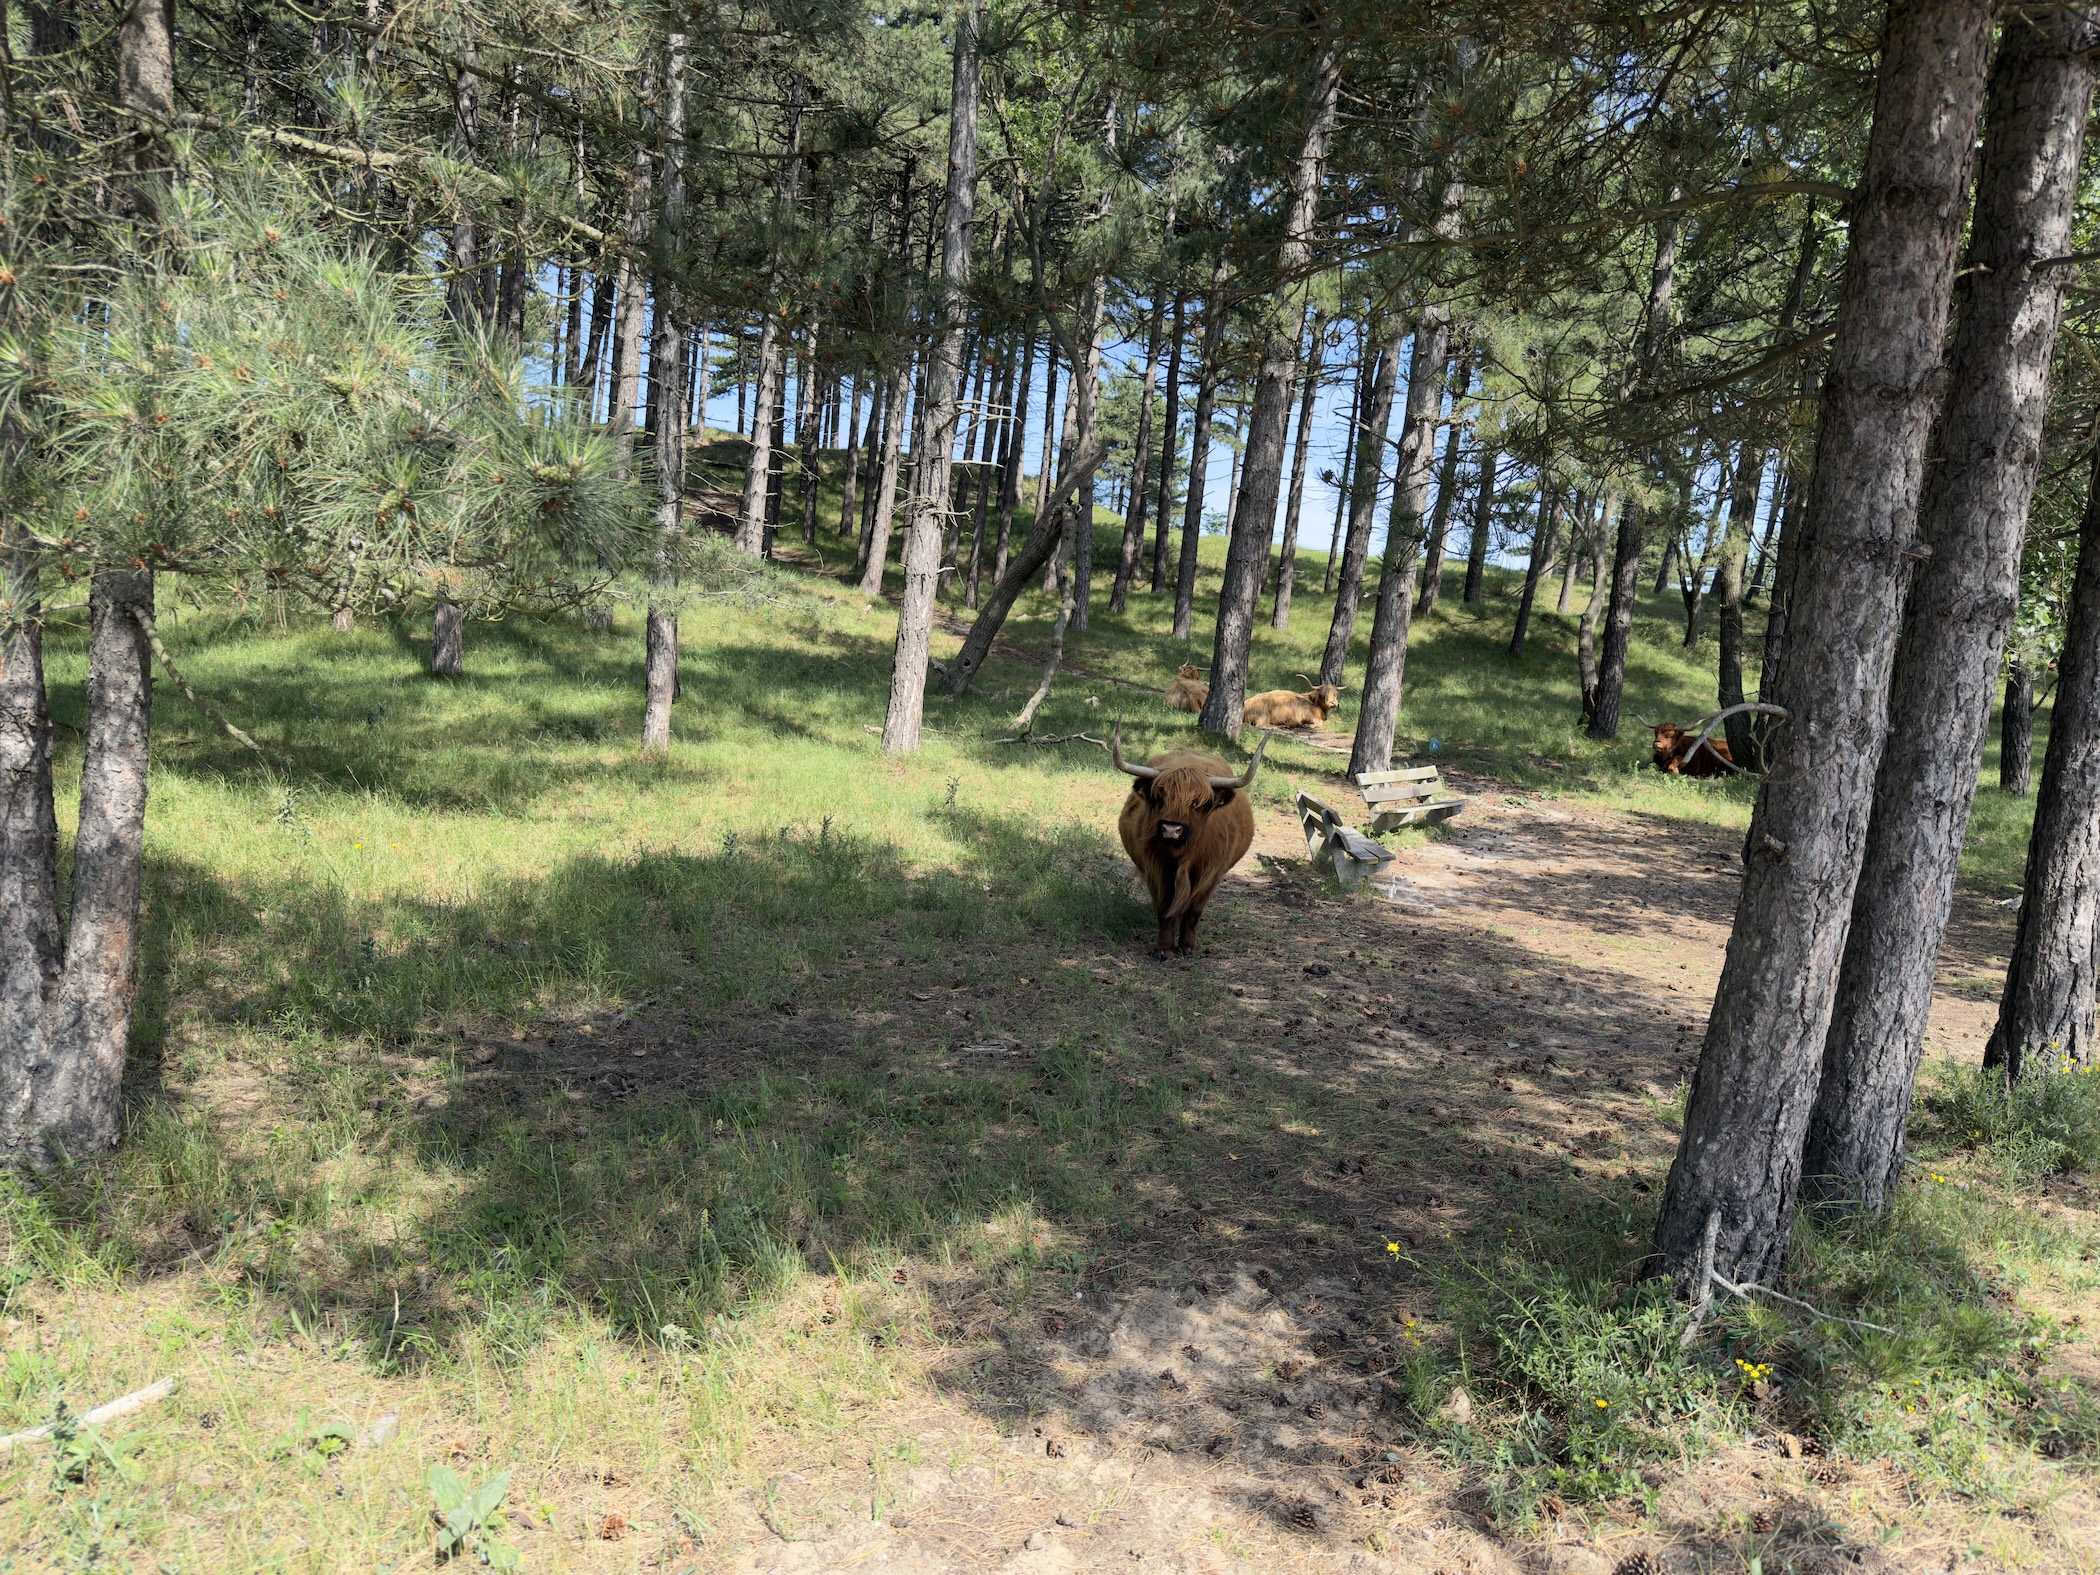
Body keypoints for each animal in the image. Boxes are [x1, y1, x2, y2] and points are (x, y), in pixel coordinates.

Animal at [1113, 723, 1267, 956]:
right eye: (1161, 797)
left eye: (1196, 803)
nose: (1171, 829)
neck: (1184, 854)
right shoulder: (1156, 868)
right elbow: (1164, 909)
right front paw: (1165, 949)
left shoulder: (1211, 873)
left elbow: (1193, 911)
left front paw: (1187, 946)